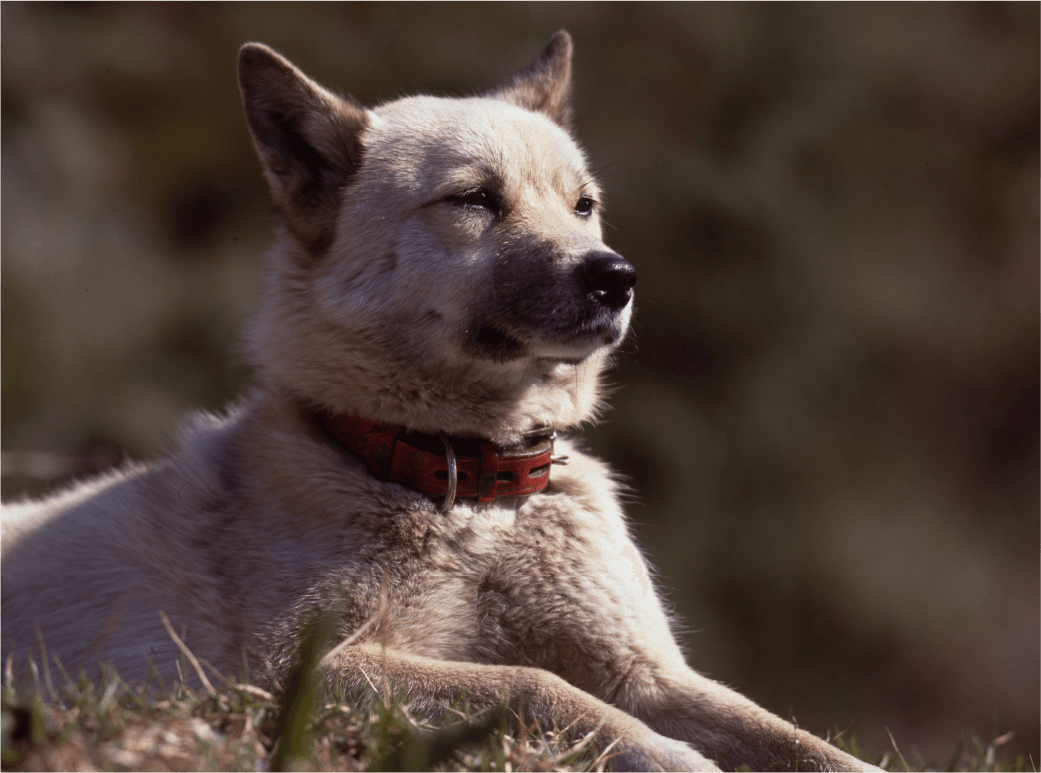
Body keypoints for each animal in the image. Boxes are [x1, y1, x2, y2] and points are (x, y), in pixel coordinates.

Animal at [4, 33, 882, 769]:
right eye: (474, 200)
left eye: (583, 205)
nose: (616, 277)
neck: (470, 493)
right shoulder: (300, 670)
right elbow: (534, 683)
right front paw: (665, 754)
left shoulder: (647, 671)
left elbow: (787, 733)